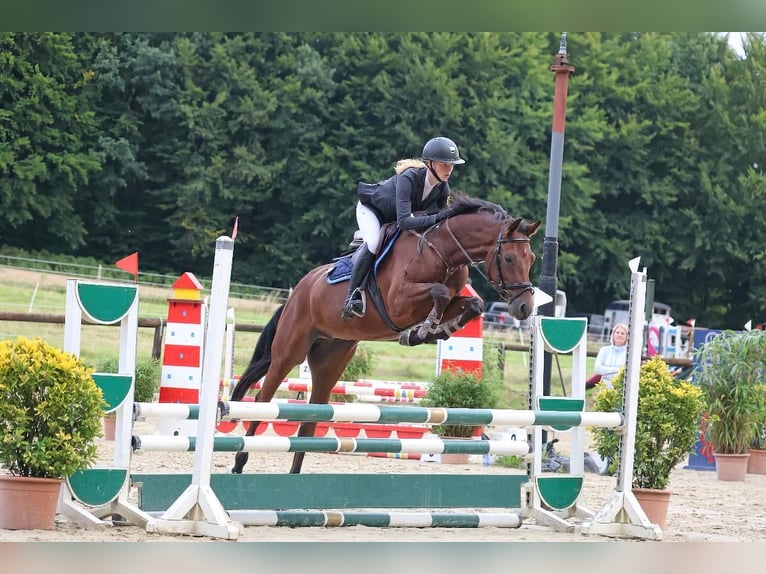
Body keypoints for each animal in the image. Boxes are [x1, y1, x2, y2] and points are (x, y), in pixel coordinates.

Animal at [230, 192, 540, 474]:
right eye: (509, 258)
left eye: (532, 258)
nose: (524, 307)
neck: (442, 250)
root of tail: (299, 290)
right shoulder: (399, 304)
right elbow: (438, 292)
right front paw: (422, 331)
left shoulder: (451, 299)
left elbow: (472, 304)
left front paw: (438, 330)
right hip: (289, 351)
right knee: (263, 399)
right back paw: (239, 463)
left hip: (331, 361)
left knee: (311, 417)